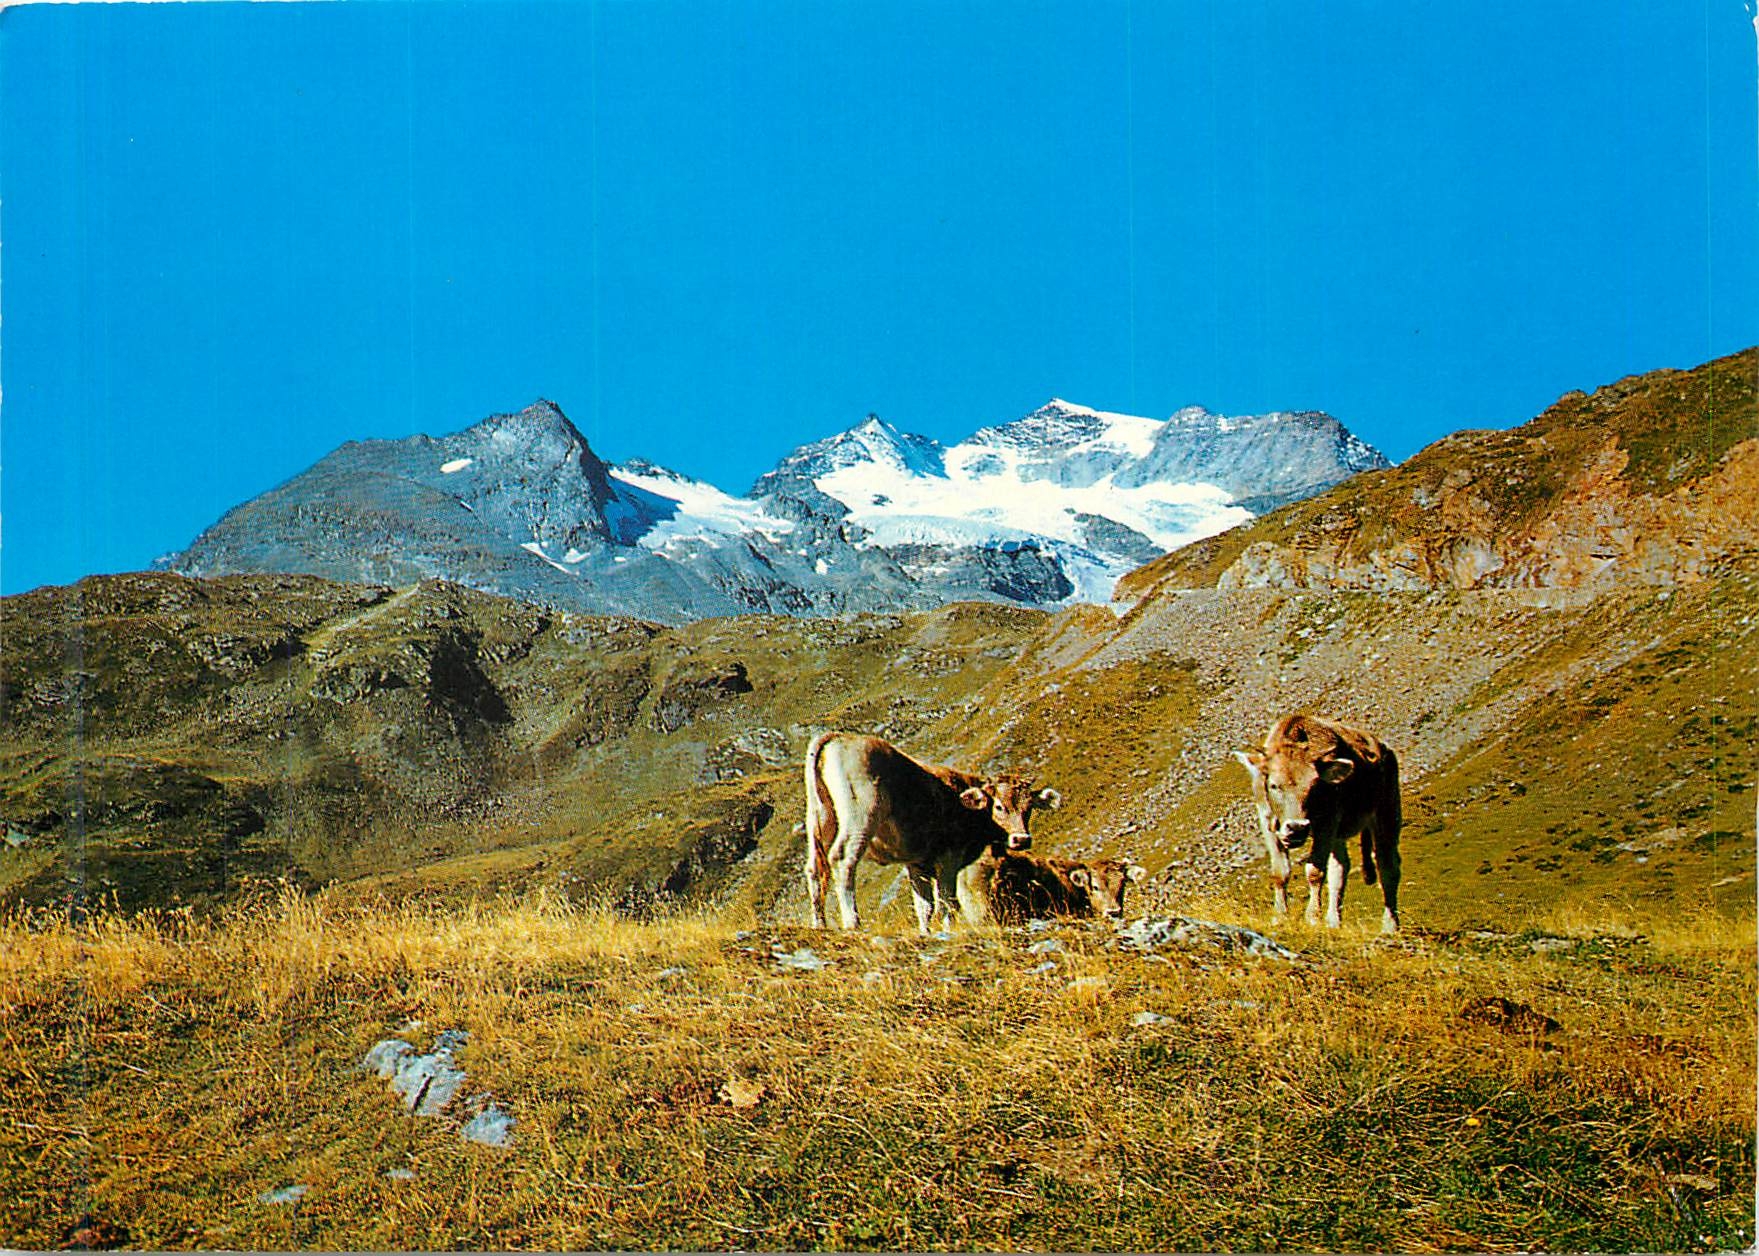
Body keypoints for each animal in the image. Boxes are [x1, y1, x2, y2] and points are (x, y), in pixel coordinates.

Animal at [803, 731, 1061, 933]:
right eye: (998, 806)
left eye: (1029, 808)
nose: (1022, 839)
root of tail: (837, 737)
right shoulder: (949, 858)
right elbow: (947, 901)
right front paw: (948, 929)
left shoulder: (917, 863)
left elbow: (924, 906)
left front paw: (926, 932)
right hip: (860, 817)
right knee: (843, 859)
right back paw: (853, 922)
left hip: (820, 819)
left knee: (815, 868)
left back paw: (819, 923)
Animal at [1233, 713, 1402, 934]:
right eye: (1274, 785)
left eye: (1314, 786)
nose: (1296, 828)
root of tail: (1384, 749)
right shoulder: (1267, 820)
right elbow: (1280, 872)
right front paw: (1279, 915)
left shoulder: (1327, 822)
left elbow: (1315, 871)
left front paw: (1312, 917)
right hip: (1339, 833)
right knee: (1340, 868)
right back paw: (1333, 921)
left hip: (1387, 811)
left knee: (1387, 865)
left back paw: (1390, 926)